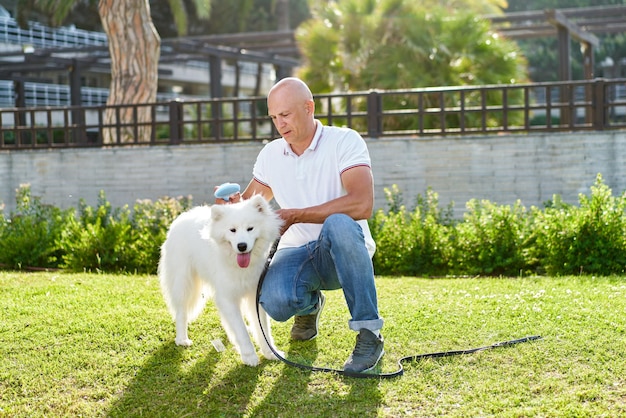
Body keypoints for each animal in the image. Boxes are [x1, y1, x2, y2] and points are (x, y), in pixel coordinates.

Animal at [157, 195, 282, 366]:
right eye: (232, 230)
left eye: (250, 228)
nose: (241, 246)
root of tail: (182, 216)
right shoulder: (227, 297)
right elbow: (241, 331)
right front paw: (249, 356)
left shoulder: (254, 295)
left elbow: (262, 329)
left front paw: (270, 352)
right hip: (183, 282)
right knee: (181, 312)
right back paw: (182, 339)